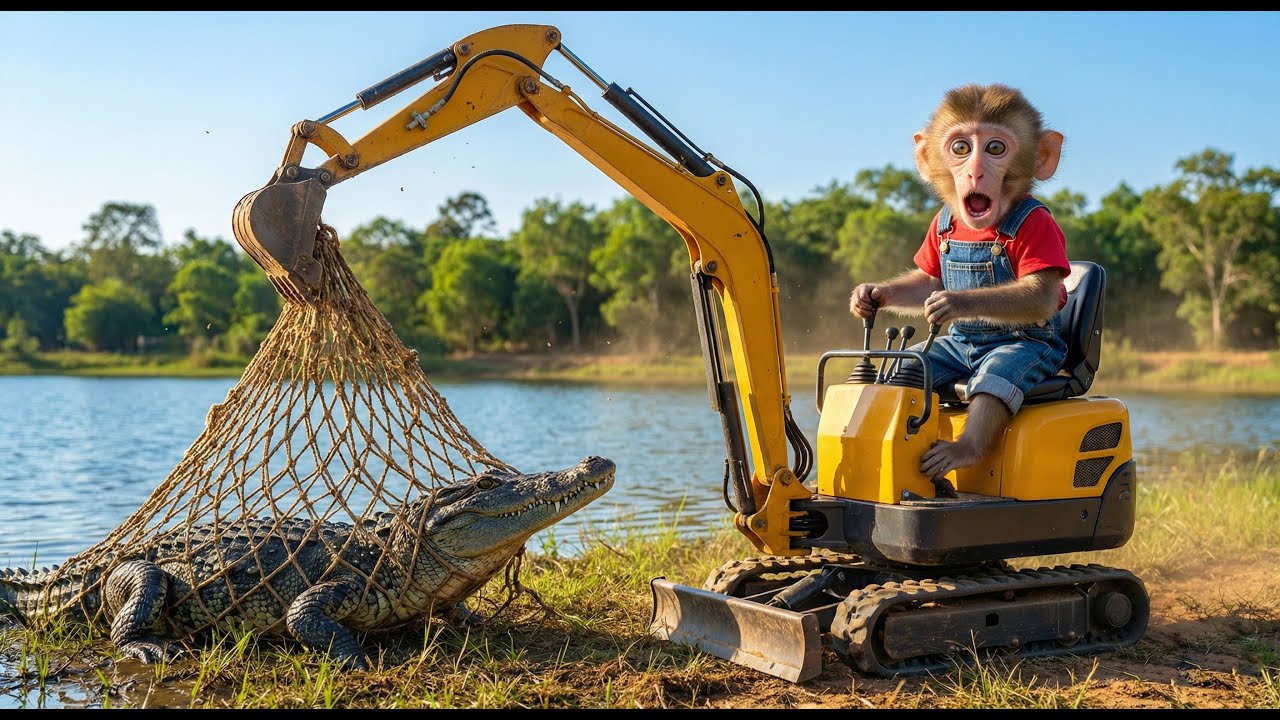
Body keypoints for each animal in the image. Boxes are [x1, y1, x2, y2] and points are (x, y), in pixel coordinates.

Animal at [849, 83, 1071, 490]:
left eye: (995, 148)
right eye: (961, 148)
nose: (975, 173)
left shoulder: (1041, 229)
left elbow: (1042, 291)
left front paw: (949, 301)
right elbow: (926, 279)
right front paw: (867, 296)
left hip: (1031, 356)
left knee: (995, 381)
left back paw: (959, 451)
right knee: (924, 363)